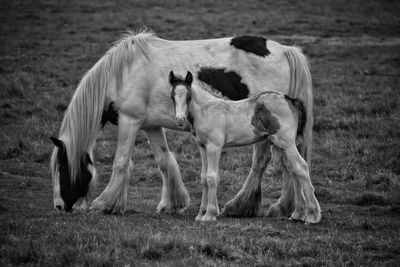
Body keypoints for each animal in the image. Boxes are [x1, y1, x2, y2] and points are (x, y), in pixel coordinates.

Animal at [169, 69, 322, 224]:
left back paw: (313, 215)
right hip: (281, 145)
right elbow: (203, 178)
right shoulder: (202, 147)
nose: (180, 120)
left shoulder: (214, 146)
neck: (206, 111)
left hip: (286, 143)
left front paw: (210, 214)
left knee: (302, 167)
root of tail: (291, 100)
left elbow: (211, 177)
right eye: (172, 97)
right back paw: (298, 214)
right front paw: (201, 214)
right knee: (293, 169)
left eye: (188, 97)